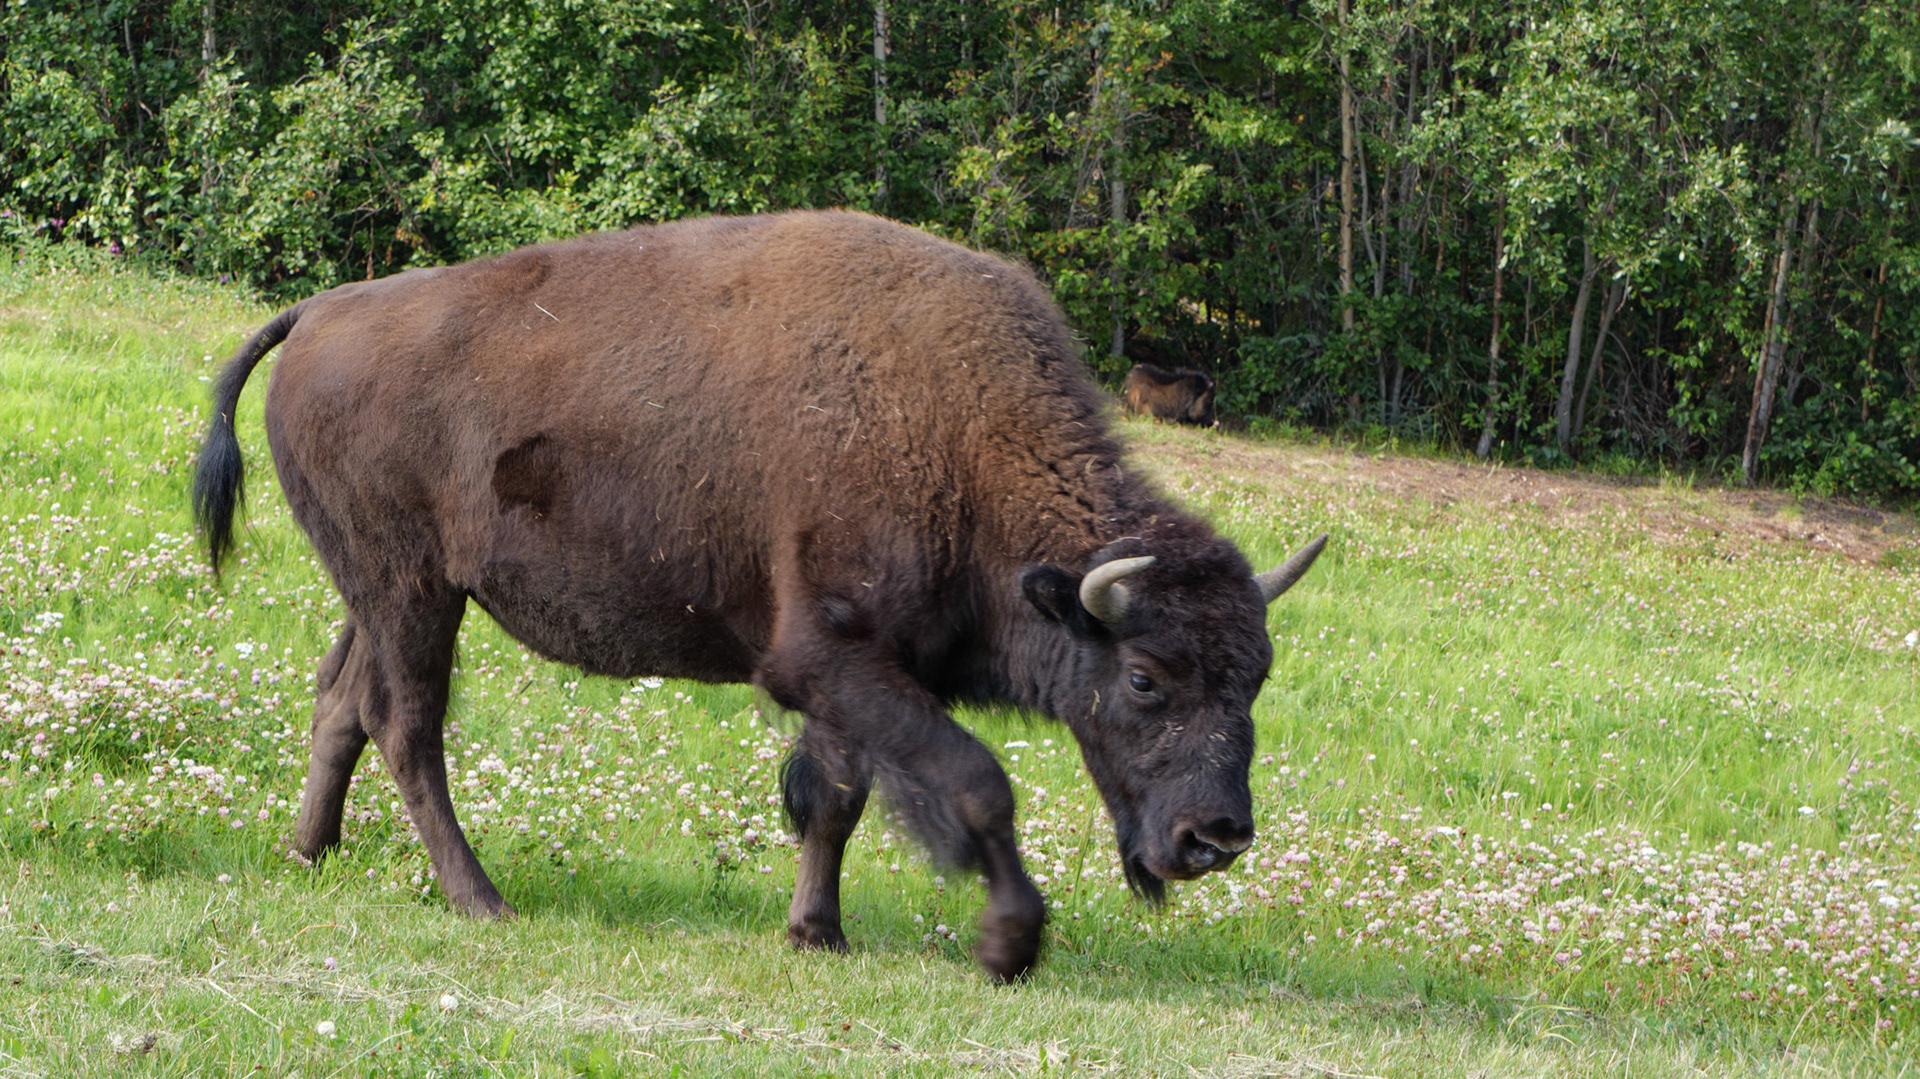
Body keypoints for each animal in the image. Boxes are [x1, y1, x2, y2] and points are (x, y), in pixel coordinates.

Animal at [193, 210, 1325, 981]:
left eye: (1256, 678)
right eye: (1144, 677)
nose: (1217, 836)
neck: (959, 434)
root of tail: (322, 312)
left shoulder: (860, 678)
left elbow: (836, 799)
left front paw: (816, 931)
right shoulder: (829, 658)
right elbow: (975, 785)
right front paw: (1009, 942)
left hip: (381, 594)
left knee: (341, 700)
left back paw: (310, 852)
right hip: (414, 590)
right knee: (406, 723)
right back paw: (482, 899)